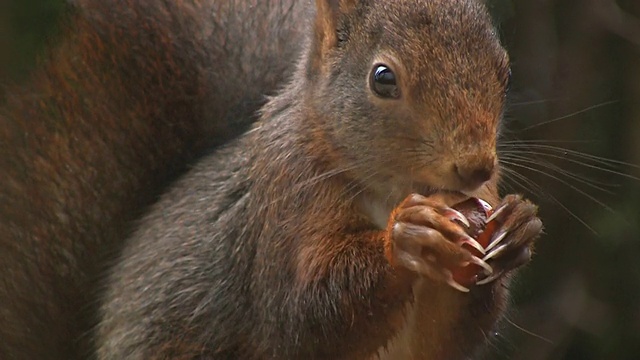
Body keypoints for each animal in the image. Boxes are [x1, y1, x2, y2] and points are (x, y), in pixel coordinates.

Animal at [96, 0, 544, 360]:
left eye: (506, 74)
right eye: (383, 78)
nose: (476, 167)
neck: (394, 191)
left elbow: (443, 337)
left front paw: (518, 226)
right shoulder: (284, 201)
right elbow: (302, 318)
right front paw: (408, 236)